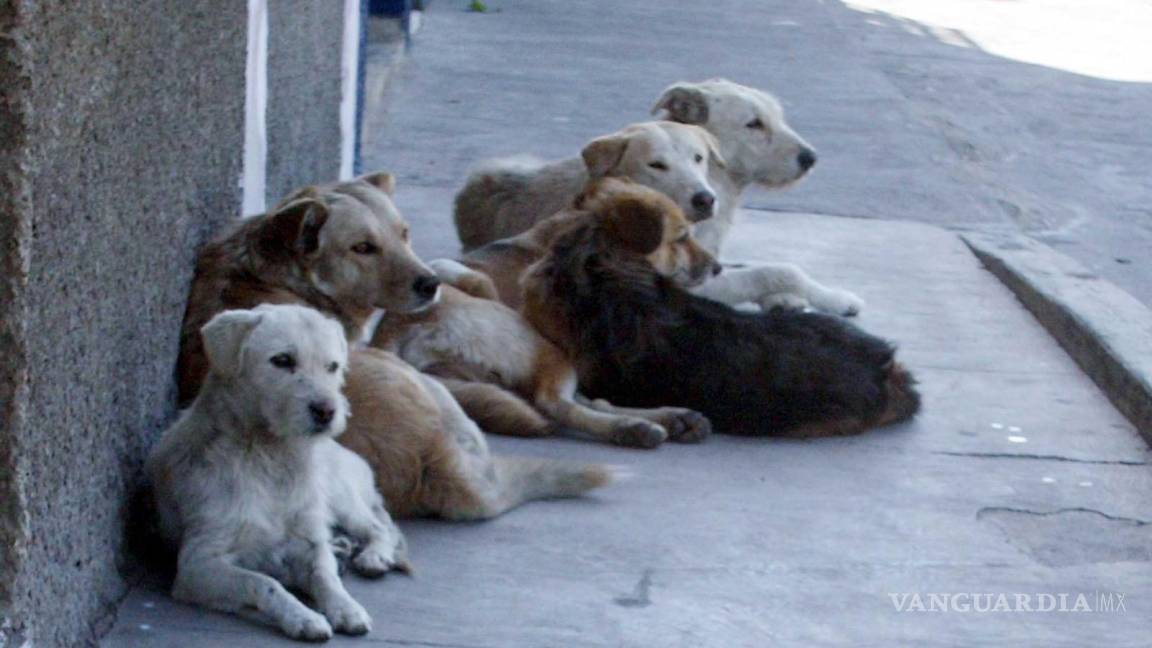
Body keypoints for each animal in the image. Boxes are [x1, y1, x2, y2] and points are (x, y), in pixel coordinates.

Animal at [147, 304, 410, 636]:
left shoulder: (307, 541)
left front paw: (346, 607)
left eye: (332, 366)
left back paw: (373, 555)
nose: (327, 411)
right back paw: (342, 547)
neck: (269, 457)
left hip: (342, 500)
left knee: (379, 527)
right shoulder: (198, 564)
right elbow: (262, 582)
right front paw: (303, 617)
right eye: (282, 360)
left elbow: (325, 576)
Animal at [175, 172, 617, 518]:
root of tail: (432, 458)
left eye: (403, 234)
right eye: (363, 248)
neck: (274, 276)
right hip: (428, 385)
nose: (430, 284)